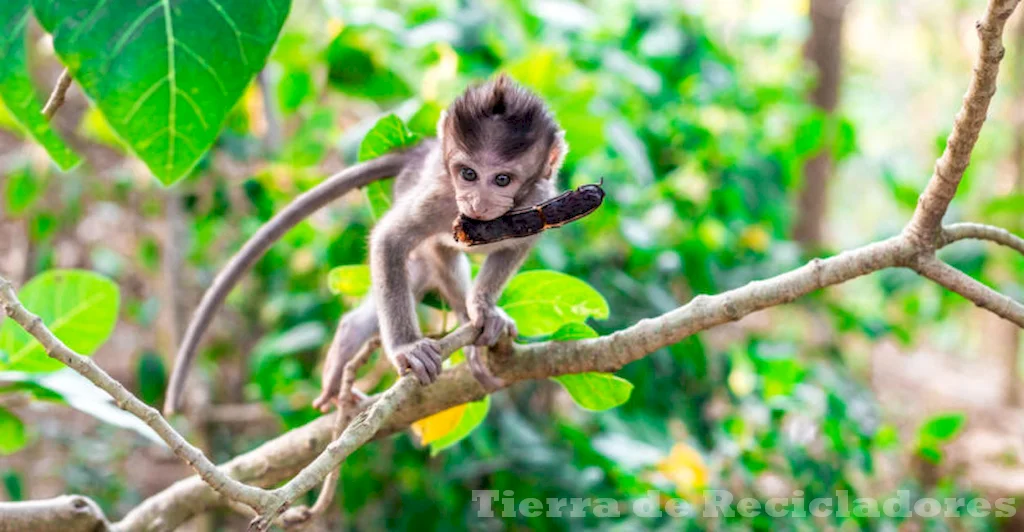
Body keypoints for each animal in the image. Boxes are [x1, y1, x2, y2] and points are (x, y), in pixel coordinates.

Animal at [166, 74, 569, 413]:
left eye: (502, 179)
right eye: (468, 174)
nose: (476, 202)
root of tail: (419, 152)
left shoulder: (540, 198)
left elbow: (516, 246)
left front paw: (482, 307)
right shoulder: (441, 197)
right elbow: (390, 240)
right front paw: (410, 347)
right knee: (422, 262)